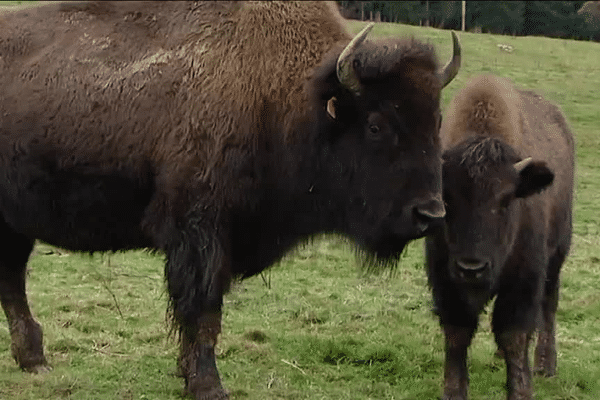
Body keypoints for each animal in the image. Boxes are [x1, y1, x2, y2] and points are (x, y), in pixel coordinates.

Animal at [0, 1, 462, 398]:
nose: (430, 213)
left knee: (12, 279)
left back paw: (35, 361)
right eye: (376, 125)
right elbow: (203, 310)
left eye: (437, 119)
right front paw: (208, 386)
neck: (290, 98)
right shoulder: (200, 233)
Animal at [424, 76, 576, 400]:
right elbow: (457, 333)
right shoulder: (445, 279)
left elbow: (514, 336)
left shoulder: (524, 280)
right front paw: (454, 392)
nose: (472, 268)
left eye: (506, 200)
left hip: (558, 253)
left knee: (549, 304)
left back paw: (545, 364)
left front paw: (521, 390)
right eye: (447, 198)